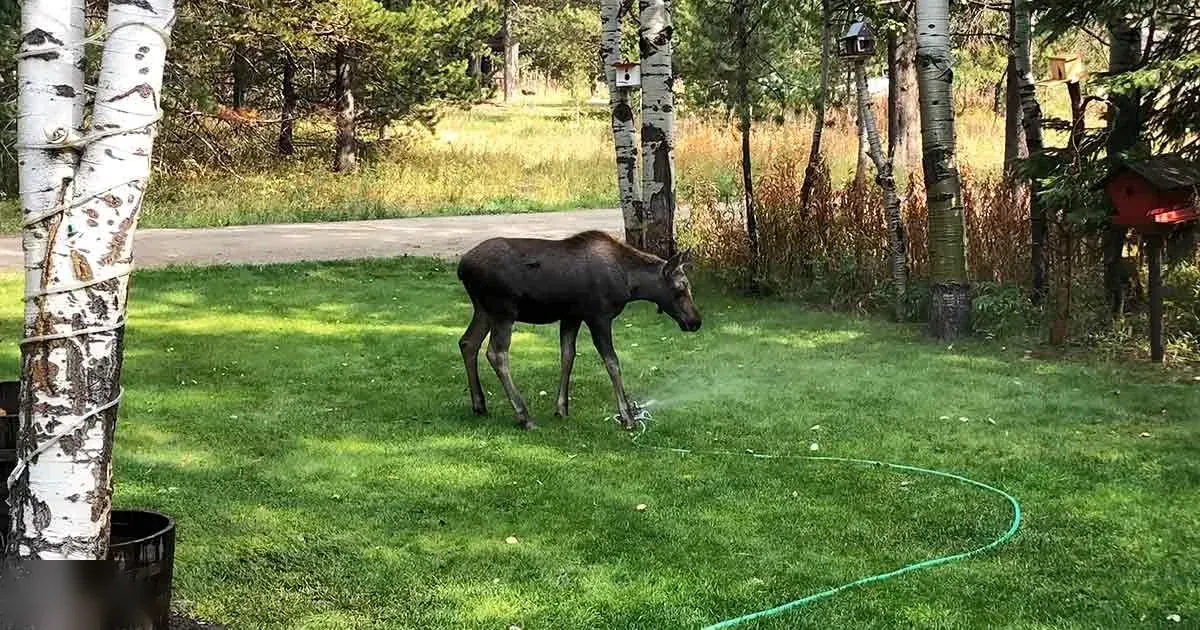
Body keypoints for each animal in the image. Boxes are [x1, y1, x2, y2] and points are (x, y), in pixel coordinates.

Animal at [457, 231, 702, 430]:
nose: (696, 321)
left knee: (468, 342)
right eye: (681, 286)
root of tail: (462, 268)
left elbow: (568, 356)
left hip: (483, 310)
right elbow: (612, 362)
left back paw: (479, 404)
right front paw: (627, 417)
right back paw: (524, 416)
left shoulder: (571, 316)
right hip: (503, 311)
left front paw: (561, 409)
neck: (630, 283)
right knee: (496, 353)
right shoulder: (598, 317)